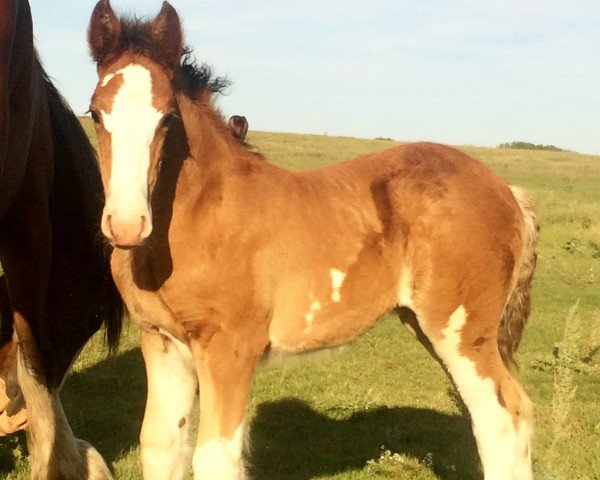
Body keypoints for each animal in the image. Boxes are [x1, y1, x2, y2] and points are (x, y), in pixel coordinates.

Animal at [88, 1, 540, 478]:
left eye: (167, 117)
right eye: (95, 113)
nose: (126, 225)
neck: (200, 217)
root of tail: (508, 191)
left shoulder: (230, 349)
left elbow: (215, 457)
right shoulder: (161, 343)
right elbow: (159, 445)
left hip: (461, 332)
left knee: (500, 417)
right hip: (429, 325)